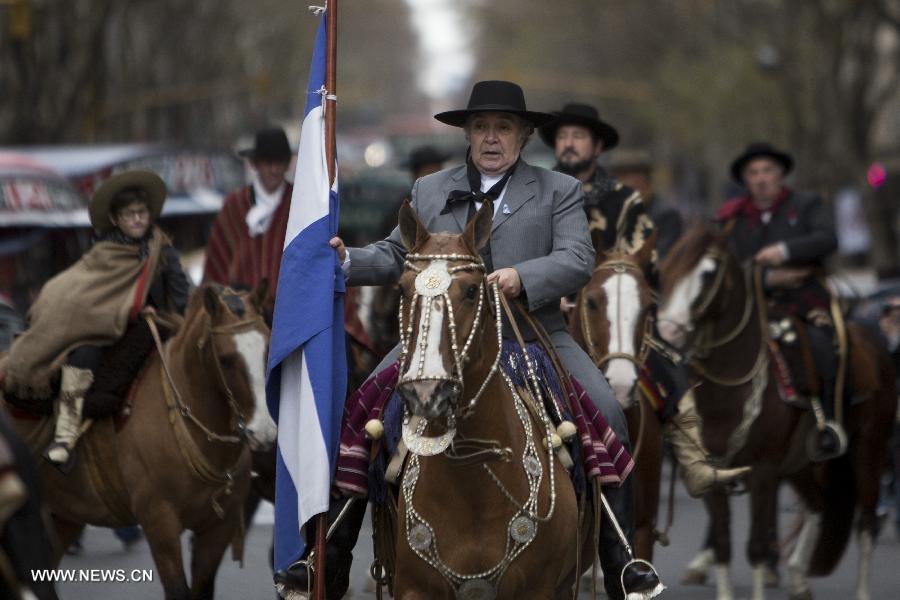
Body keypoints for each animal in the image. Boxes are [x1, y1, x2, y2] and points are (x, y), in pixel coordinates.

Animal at [7, 284, 274, 596]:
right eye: (226, 359)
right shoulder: (161, 525)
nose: (264, 432)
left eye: (268, 349)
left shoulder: (216, 530)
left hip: (63, 515)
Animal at [388, 203, 588, 600]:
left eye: (470, 290)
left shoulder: (538, 589)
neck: (474, 487)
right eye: (402, 289)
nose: (427, 390)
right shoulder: (415, 589)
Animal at [656, 225, 896, 600]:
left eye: (708, 272)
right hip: (802, 465)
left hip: (869, 449)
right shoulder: (711, 474)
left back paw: (860, 590)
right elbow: (723, 544)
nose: (668, 329)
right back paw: (797, 578)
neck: (727, 389)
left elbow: (755, 546)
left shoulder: (763, 473)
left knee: (866, 524)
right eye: (667, 267)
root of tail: (874, 343)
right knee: (818, 504)